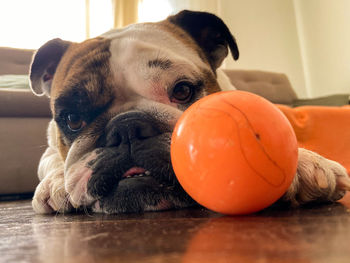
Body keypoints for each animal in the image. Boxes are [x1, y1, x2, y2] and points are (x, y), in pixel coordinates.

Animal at [28, 9, 350, 214]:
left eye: (182, 91)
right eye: (73, 119)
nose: (127, 127)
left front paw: (306, 163)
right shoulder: (48, 149)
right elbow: (54, 161)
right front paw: (55, 183)